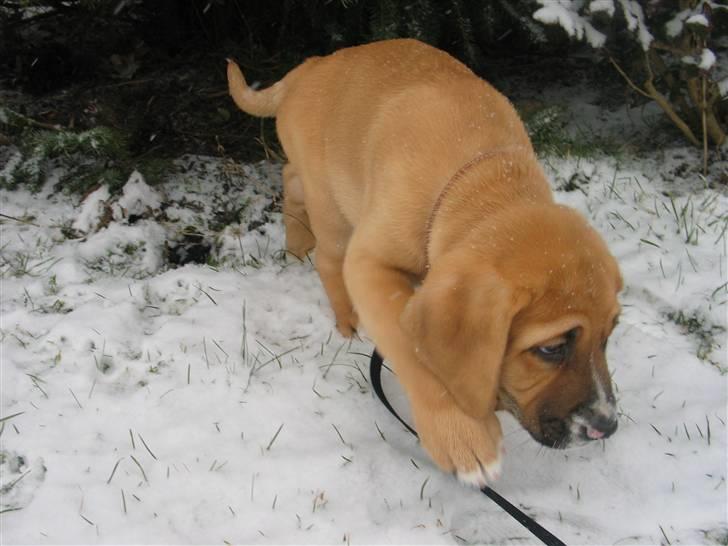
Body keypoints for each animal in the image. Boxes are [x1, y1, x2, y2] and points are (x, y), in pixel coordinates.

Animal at [228, 40, 620, 486]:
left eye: (609, 336)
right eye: (551, 349)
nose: (606, 427)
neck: (477, 179)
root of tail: (310, 67)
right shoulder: (369, 264)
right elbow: (410, 346)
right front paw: (461, 435)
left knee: (291, 178)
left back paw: (295, 245)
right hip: (332, 208)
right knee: (326, 253)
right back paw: (344, 317)